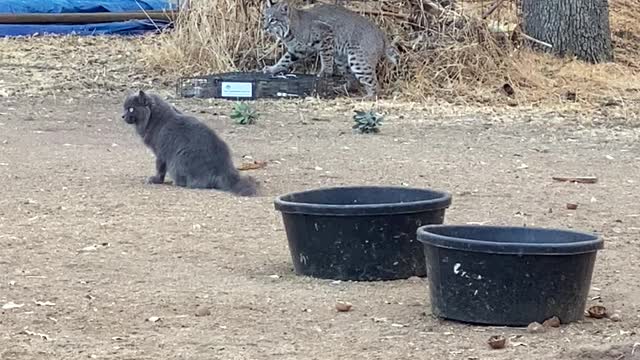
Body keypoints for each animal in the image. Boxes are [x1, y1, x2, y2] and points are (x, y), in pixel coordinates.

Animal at [122, 90, 258, 197]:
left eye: (131, 109)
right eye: (124, 108)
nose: (122, 116)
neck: (156, 120)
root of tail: (224, 169)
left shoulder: (160, 152)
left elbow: (160, 168)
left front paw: (155, 180)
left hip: (178, 160)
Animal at [262, 0, 398, 98]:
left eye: (273, 20)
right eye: (265, 18)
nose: (264, 28)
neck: (289, 30)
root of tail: (381, 33)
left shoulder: (326, 35)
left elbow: (325, 57)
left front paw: (325, 71)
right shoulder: (297, 50)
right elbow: (285, 60)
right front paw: (272, 69)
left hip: (358, 59)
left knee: (374, 83)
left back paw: (369, 97)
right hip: (342, 59)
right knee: (353, 80)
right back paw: (341, 89)